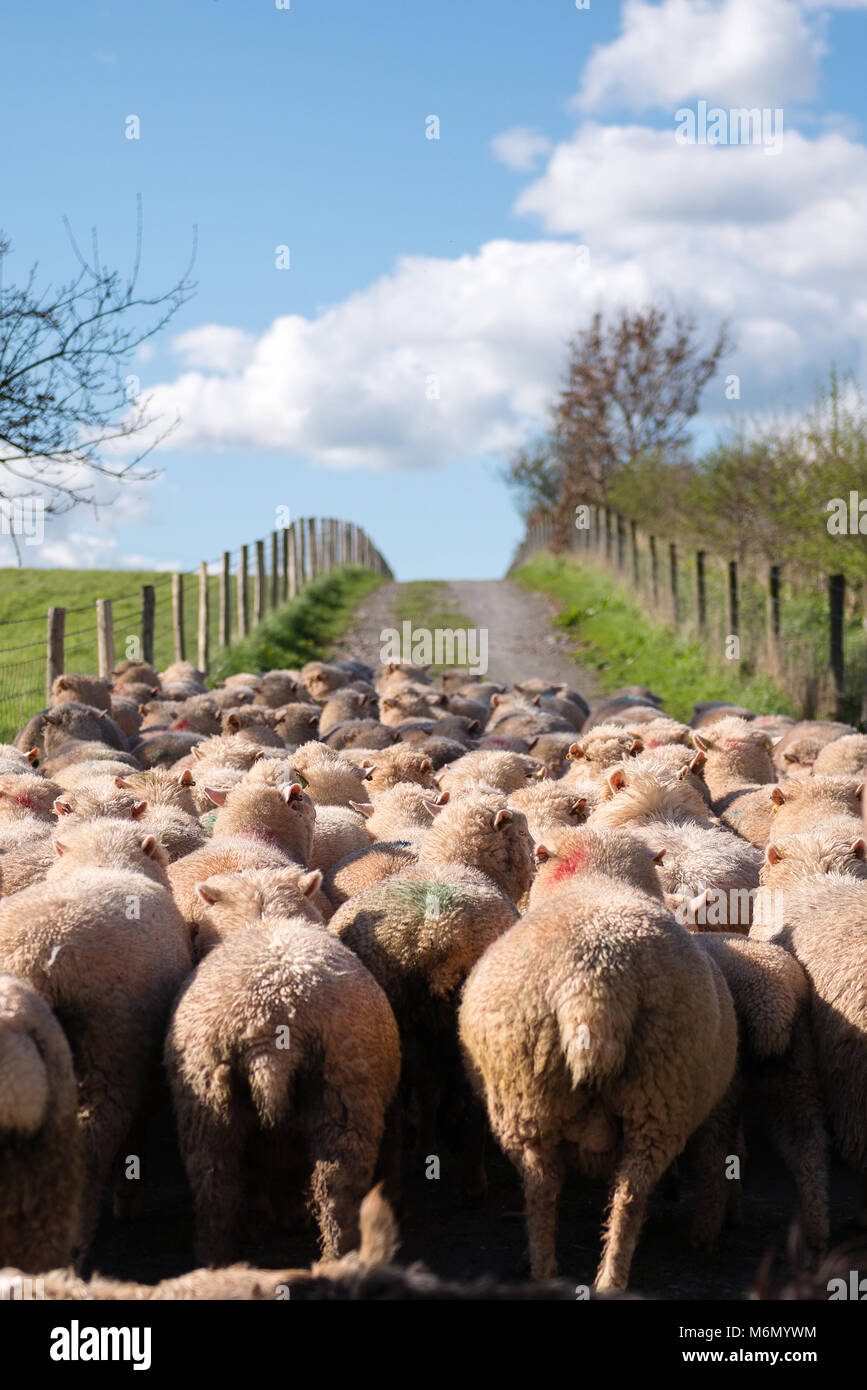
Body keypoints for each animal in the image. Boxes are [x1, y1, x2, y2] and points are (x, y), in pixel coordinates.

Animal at [165, 918, 400, 1263]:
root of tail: (269, 1023)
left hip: (208, 1103)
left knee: (214, 1180)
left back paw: (215, 1258)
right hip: (343, 1093)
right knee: (337, 1183)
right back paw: (340, 1253)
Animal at [458, 824, 737, 1289]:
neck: (598, 875)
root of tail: (594, 982)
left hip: (532, 1095)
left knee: (549, 1187)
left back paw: (553, 1272)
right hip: (657, 1093)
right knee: (622, 1192)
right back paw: (603, 1279)